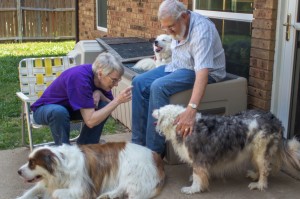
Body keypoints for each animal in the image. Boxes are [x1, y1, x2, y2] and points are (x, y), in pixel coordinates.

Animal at [16, 142, 165, 198]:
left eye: (32, 163)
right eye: (29, 161)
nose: (18, 171)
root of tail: (156, 156)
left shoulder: (81, 189)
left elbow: (56, 192)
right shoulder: (45, 183)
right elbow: (31, 191)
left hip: (129, 170)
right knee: (121, 188)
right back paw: (107, 195)